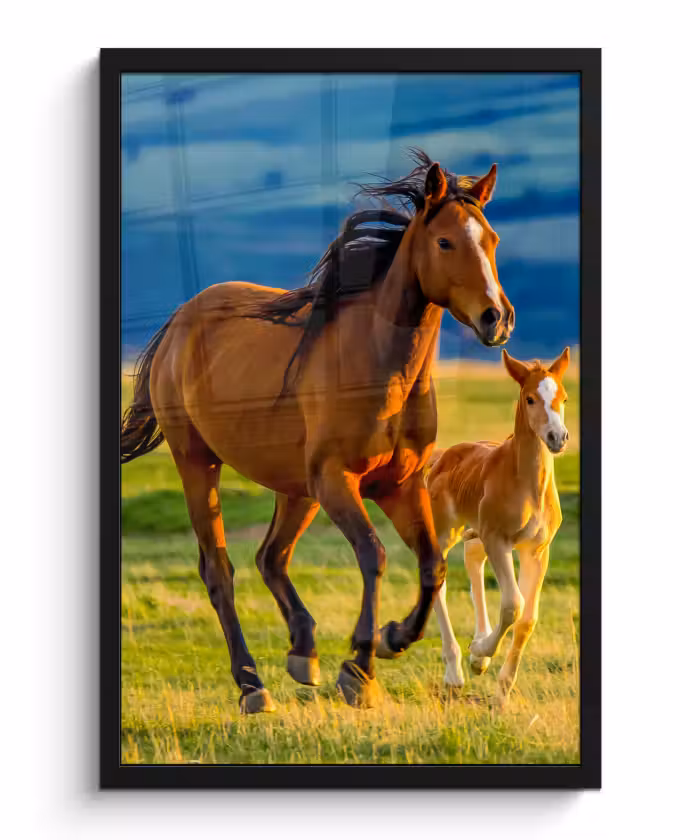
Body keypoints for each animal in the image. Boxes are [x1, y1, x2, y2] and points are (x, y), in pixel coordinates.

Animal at [120, 149, 515, 713]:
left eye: (492, 240)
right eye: (445, 242)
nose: (496, 318)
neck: (380, 367)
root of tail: (178, 322)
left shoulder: (399, 486)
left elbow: (432, 565)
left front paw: (393, 638)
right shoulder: (337, 481)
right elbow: (373, 556)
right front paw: (360, 668)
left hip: (295, 489)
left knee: (271, 557)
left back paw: (302, 652)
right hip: (199, 464)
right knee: (220, 570)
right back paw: (252, 684)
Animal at [426, 347, 570, 702]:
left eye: (563, 397)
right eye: (530, 399)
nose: (557, 438)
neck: (527, 485)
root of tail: (442, 457)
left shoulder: (537, 549)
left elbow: (527, 618)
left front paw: (501, 691)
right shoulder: (499, 540)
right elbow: (512, 605)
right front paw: (479, 652)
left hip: (476, 535)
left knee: (473, 564)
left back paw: (477, 653)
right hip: (446, 533)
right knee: (438, 580)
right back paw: (456, 672)